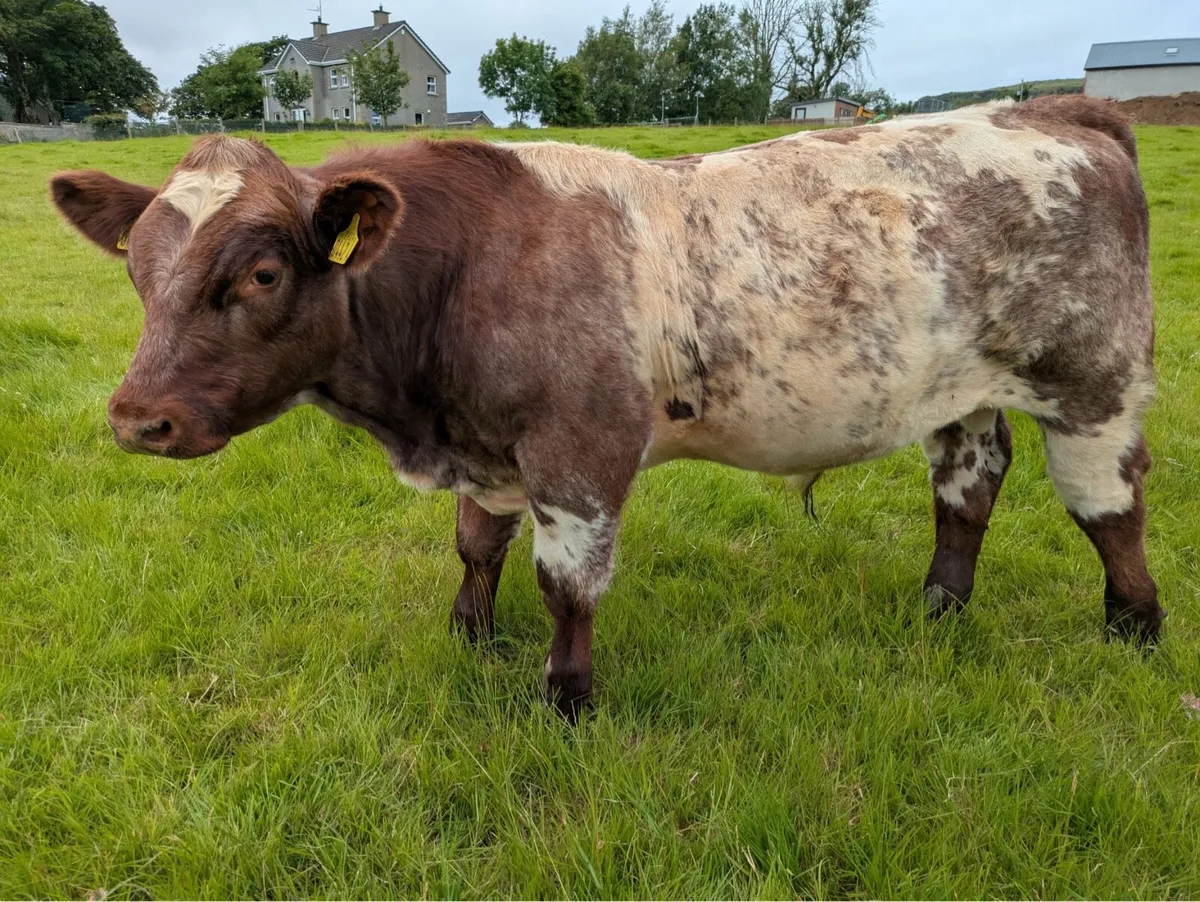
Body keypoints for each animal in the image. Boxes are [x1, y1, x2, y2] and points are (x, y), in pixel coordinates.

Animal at [50, 95, 1163, 718]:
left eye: (264, 272)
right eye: (139, 269)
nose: (138, 418)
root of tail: (1052, 112)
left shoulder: (579, 452)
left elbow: (567, 585)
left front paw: (566, 698)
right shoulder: (488, 447)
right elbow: (477, 546)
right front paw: (468, 638)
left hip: (1093, 381)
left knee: (1108, 505)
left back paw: (1135, 628)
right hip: (959, 386)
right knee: (968, 485)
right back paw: (939, 607)